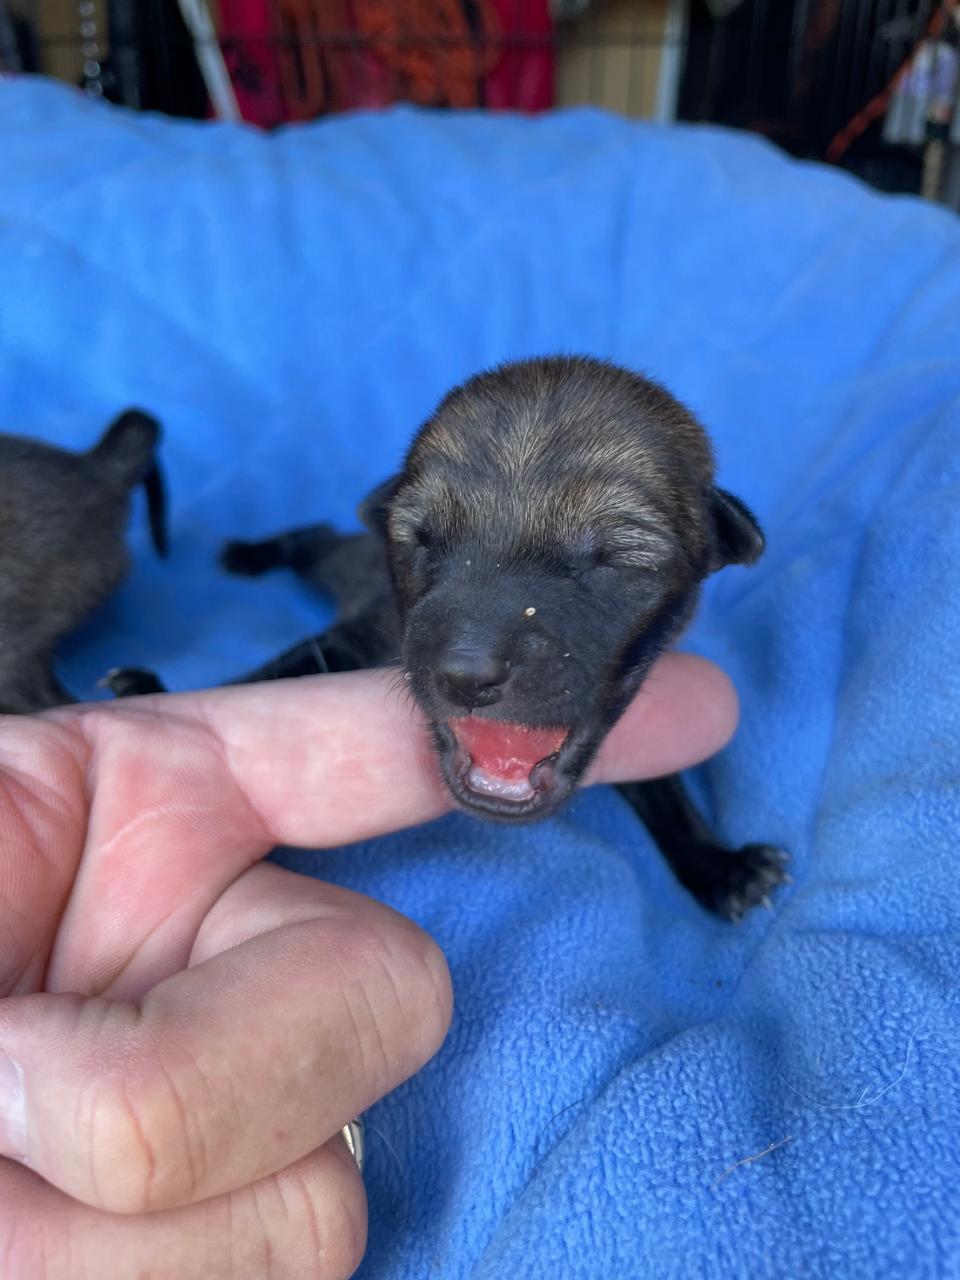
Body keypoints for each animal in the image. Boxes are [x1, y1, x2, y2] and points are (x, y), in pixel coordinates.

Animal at [116, 358, 783, 921]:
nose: (465, 673)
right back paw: (253, 553)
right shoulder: (369, 631)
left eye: (612, 560)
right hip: (341, 564)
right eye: (422, 539)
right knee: (310, 540)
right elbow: (285, 666)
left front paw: (718, 865)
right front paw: (154, 694)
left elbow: (664, 792)